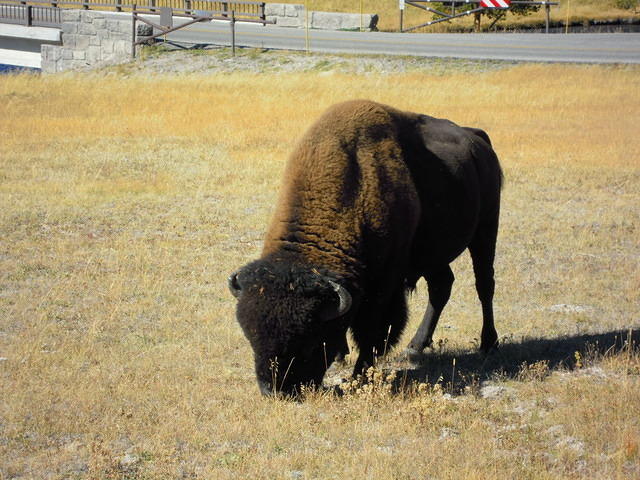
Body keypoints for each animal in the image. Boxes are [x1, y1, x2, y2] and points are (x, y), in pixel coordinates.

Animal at [229, 100, 502, 396]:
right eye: (251, 337)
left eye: (311, 341)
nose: (275, 389)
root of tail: (478, 139)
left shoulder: (385, 285)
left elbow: (373, 330)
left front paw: (360, 375)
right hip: (433, 253)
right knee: (441, 286)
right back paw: (416, 346)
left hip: (486, 229)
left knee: (484, 284)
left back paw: (488, 343)